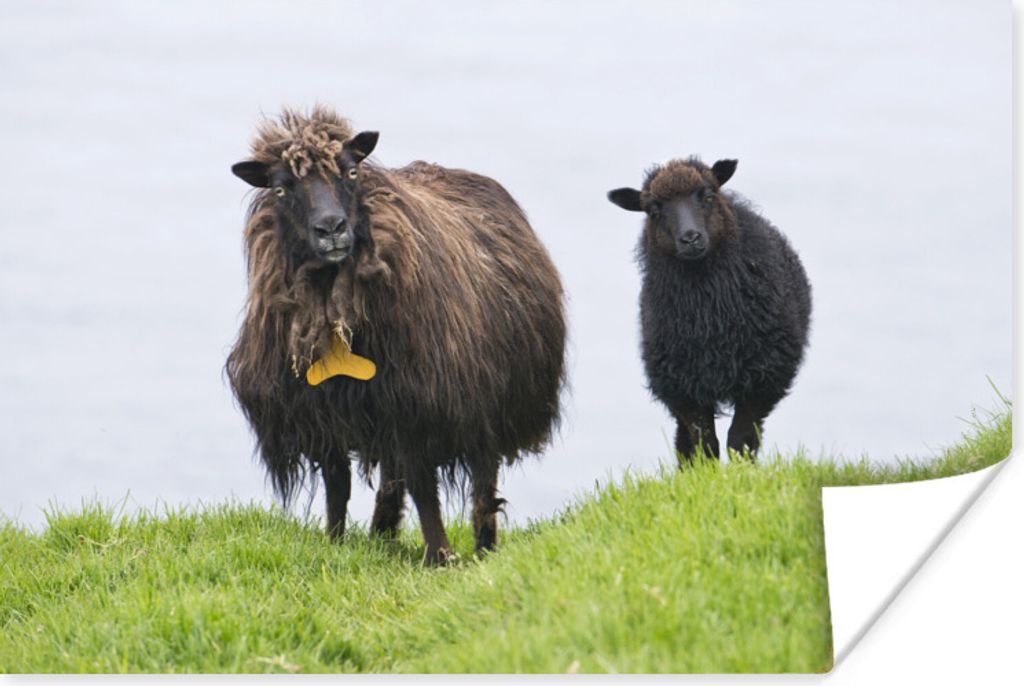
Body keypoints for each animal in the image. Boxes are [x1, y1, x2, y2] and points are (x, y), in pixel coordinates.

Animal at [226, 106, 566, 564]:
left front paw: (440, 557)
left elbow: (425, 490)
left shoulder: (420, 409)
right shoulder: (324, 413)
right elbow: (338, 488)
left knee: (482, 486)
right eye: (281, 188)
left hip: (488, 403)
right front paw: (335, 544)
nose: (331, 228)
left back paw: (482, 549)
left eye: (351, 172)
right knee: (392, 480)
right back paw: (380, 535)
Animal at [607, 157, 811, 462]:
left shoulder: (762, 379)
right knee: (684, 442)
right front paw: (707, 472)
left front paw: (740, 470)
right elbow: (705, 444)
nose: (690, 238)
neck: (710, 316)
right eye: (654, 209)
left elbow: (740, 440)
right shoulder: (684, 388)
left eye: (708, 195)